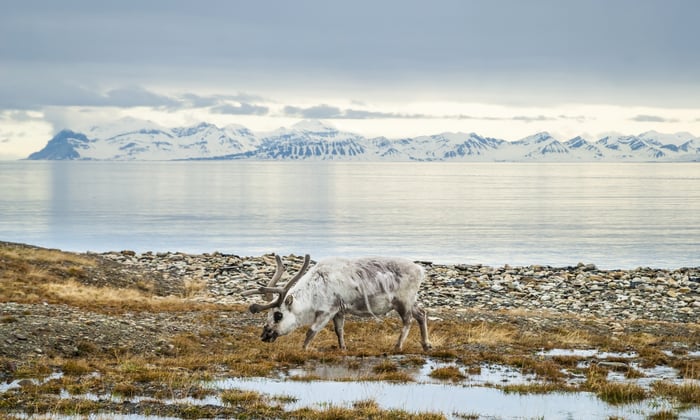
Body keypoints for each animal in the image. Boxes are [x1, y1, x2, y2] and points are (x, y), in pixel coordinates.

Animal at [242, 254, 431, 351]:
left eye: (278, 315)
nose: (264, 336)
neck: (313, 292)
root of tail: (420, 270)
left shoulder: (328, 310)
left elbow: (311, 331)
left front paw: (303, 349)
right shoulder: (339, 311)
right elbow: (339, 331)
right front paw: (343, 348)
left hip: (403, 300)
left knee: (408, 320)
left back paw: (398, 346)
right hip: (411, 300)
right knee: (421, 313)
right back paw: (426, 345)